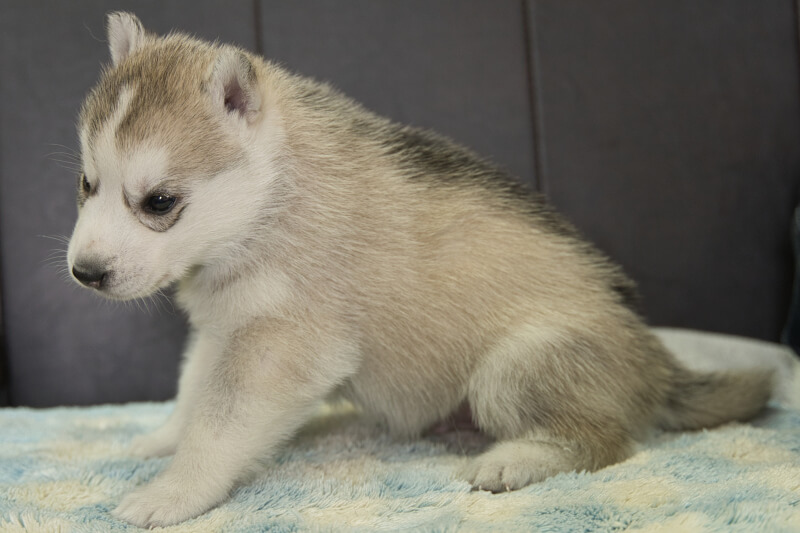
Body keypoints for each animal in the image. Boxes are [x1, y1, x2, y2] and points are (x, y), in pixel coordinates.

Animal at [70, 11, 776, 524]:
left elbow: (219, 425)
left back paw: (514, 461)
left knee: (605, 440)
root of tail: (655, 360)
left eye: (159, 203)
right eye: (86, 184)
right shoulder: (225, 328)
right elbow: (194, 391)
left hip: (514, 366)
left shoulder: (282, 344)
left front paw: (174, 492)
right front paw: (162, 438)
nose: (84, 273)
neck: (269, 197)